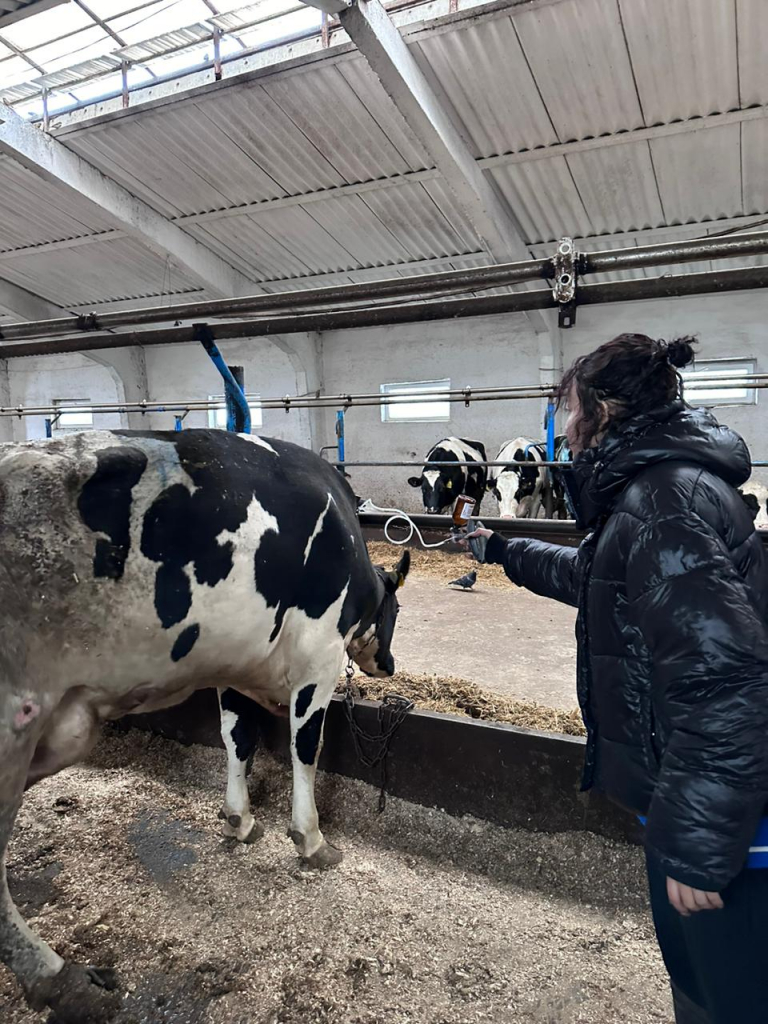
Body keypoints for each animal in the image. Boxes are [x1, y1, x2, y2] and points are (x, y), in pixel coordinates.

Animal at [0, 429, 410, 1023]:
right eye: (397, 610)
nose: (391, 665)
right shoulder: (318, 653)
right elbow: (305, 746)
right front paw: (311, 839)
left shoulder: (234, 667)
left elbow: (237, 741)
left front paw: (239, 820)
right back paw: (63, 978)